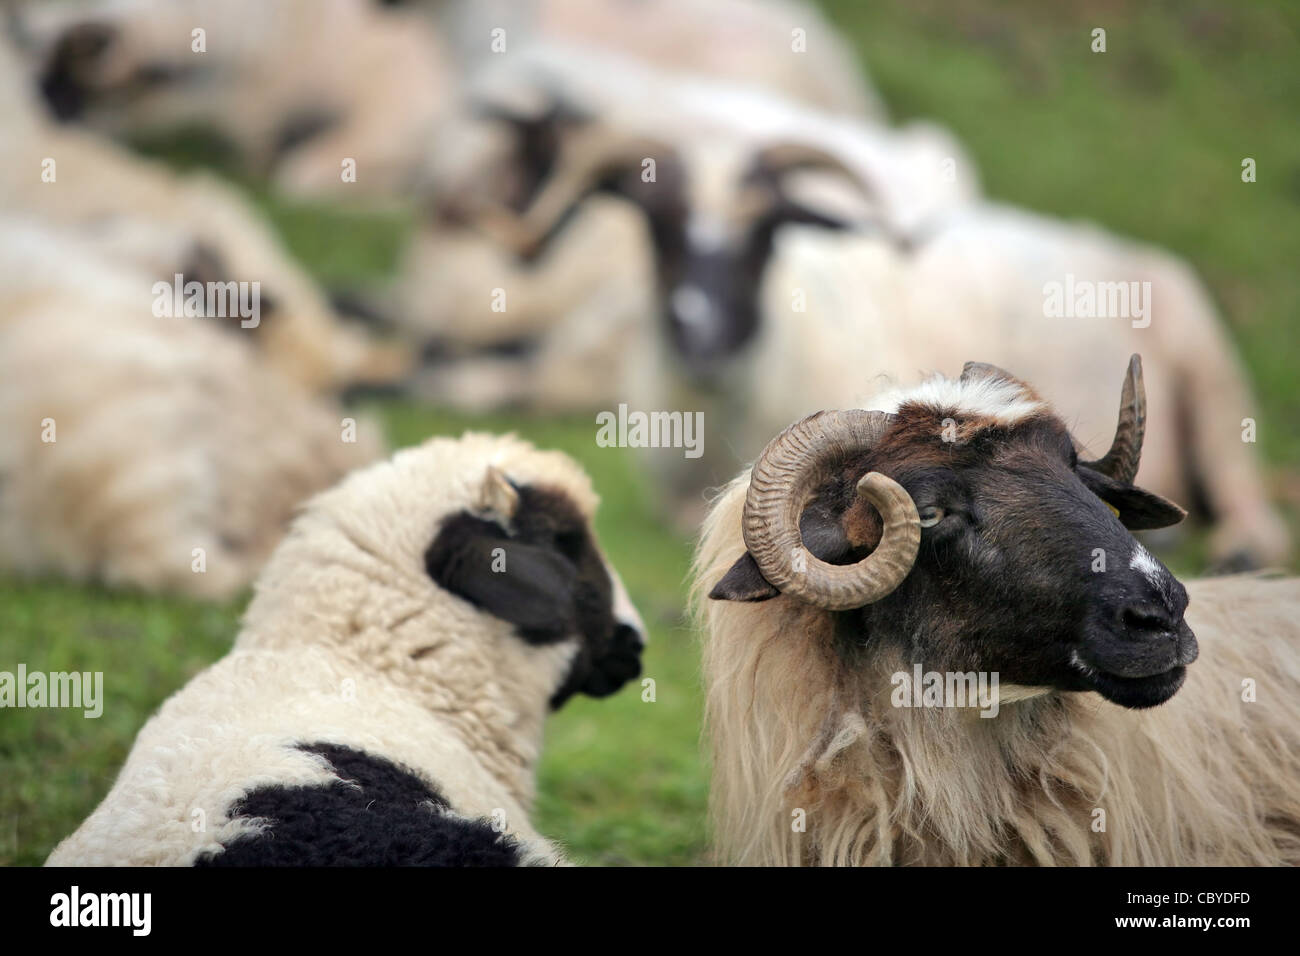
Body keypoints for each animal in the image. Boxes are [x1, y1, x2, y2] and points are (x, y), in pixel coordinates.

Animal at [17, 0, 455, 200]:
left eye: (68, 84)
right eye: (50, 78)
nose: (51, 110)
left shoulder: (248, 102)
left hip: (370, 135)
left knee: (308, 173)